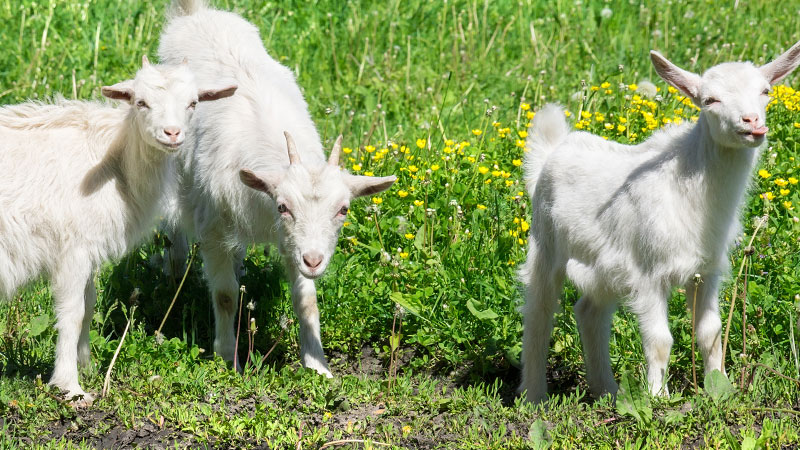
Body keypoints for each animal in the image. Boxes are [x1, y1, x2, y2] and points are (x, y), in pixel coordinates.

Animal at [0, 56, 236, 405]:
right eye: (141, 102)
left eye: (193, 103)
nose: (172, 133)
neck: (113, 160)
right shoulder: (72, 247)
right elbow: (72, 312)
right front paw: (70, 387)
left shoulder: (87, 247)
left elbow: (89, 305)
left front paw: (86, 365)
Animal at [158, 0, 396, 376]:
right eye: (283, 206)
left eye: (343, 209)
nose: (314, 260)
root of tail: (194, 14)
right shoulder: (214, 227)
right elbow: (224, 296)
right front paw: (227, 357)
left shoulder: (292, 241)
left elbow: (307, 300)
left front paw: (316, 363)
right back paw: (174, 272)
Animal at [519, 41, 800, 402]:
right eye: (709, 100)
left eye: (765, 91)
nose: (751, 121)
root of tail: (552, 152)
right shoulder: (647, 273)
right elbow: (659, 340)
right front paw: (658, 398)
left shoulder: (706, 271)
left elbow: (710, 333)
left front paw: (719, 389)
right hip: (545, 244)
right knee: (538, 314)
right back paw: (533, 395)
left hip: (603, 266)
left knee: (589, 312)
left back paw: (608, 391)